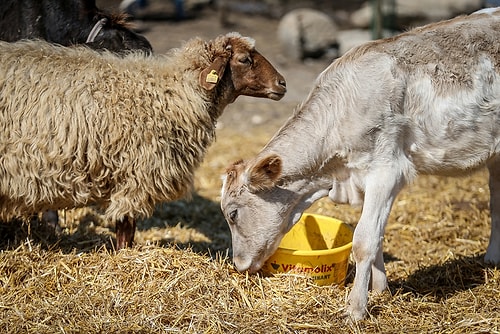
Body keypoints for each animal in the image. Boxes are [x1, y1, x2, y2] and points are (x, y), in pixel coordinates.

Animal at [0, 32, 288, 249]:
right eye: (244, 59)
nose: (282, 84)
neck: (174, 93)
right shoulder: (135, 176)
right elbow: (126, 227)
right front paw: (124, 257)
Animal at [221, 9, 500, 320]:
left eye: (233, 213)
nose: (239, 264)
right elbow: (377, 237)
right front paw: (380, 290)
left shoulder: (387, 171)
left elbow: (364, 240)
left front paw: (356, 308)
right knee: (496, 201)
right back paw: (492, 259)